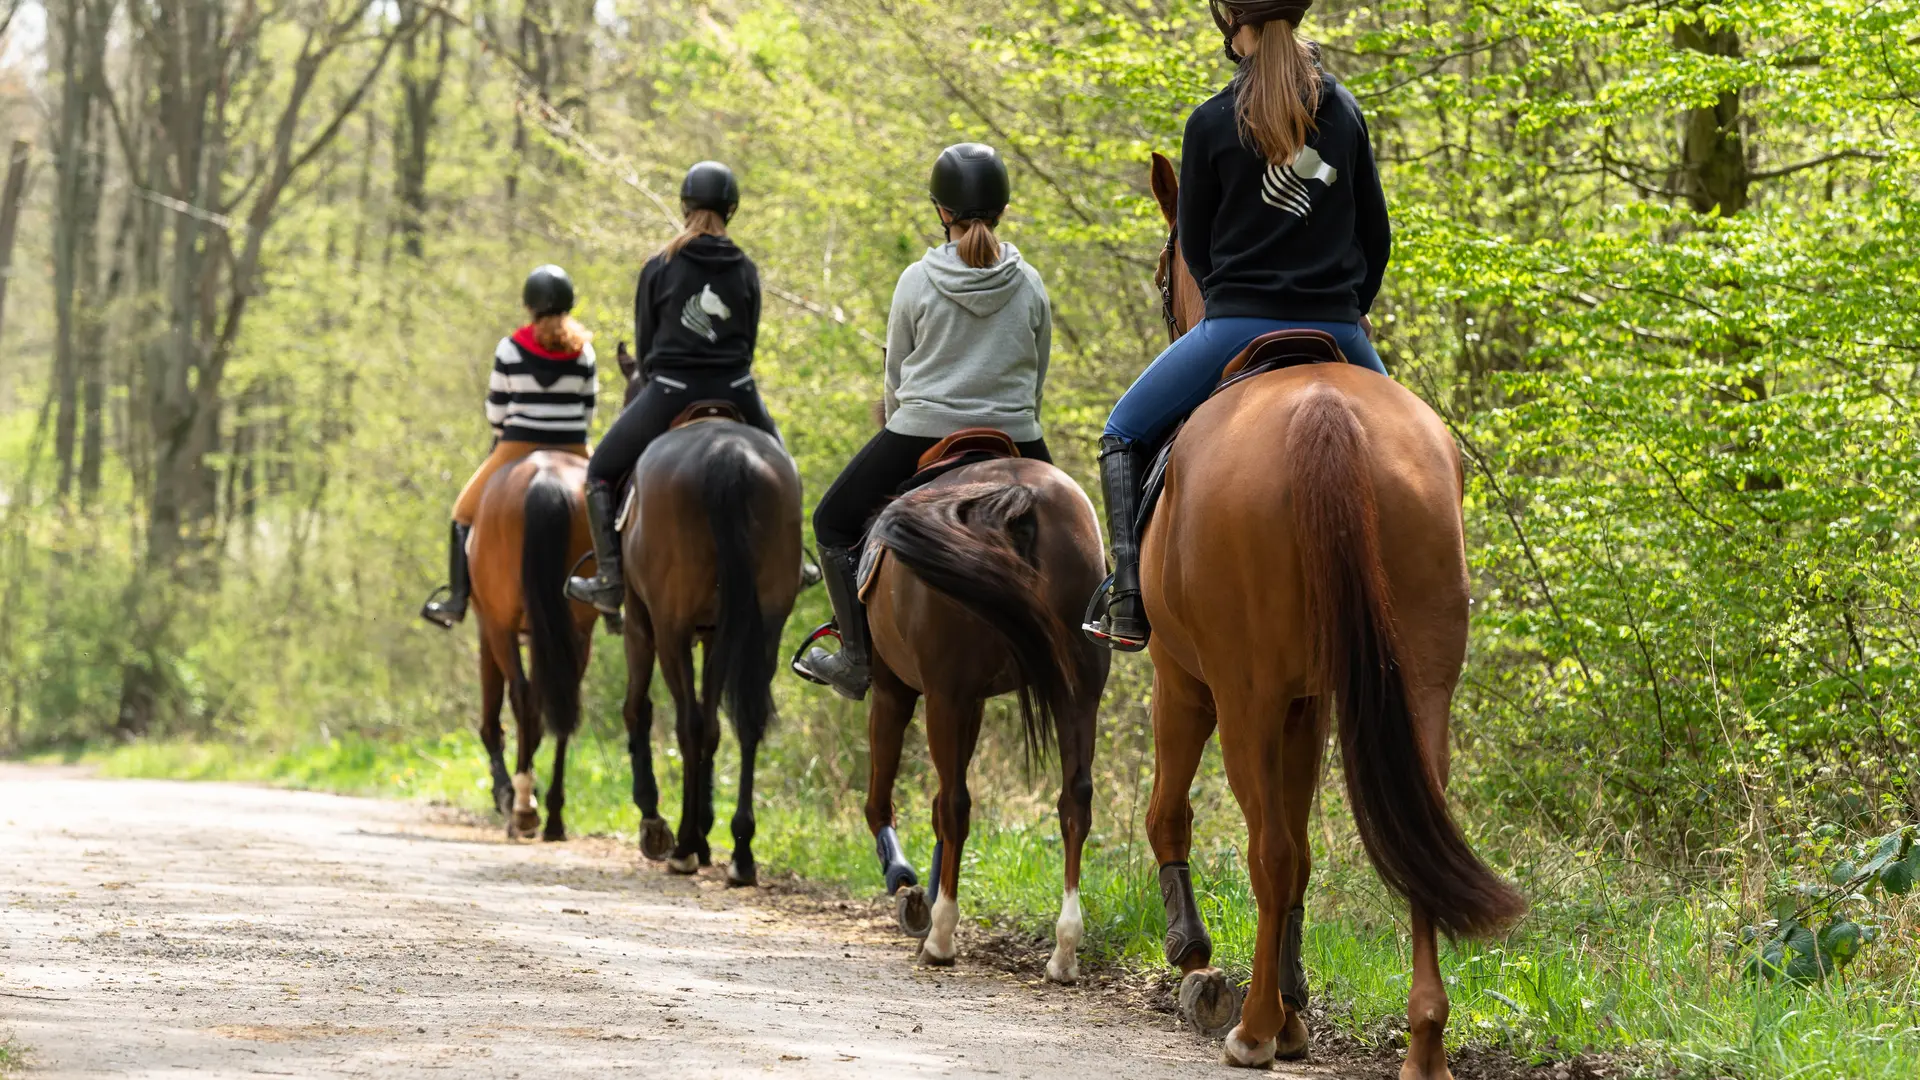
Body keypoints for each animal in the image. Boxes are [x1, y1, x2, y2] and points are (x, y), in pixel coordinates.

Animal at [468, 449, 595, 837]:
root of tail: (546, 480)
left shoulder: (488, 627)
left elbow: (494, 715)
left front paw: (504, 791)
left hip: (502, 624)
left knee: (523, 695)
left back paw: (522, 806)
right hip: (576, 626)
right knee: (563, 701)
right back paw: (553, 816)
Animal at [610, 343, 798, 883]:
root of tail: (727, 456)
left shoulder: (641, 624)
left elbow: (640, 708)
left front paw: (657, 823)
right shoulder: (717, 634)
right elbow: (715, 723)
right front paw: (709, 832)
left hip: (669, 628)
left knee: (688, 722)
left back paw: (685, 844)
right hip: (766, 627)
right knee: (743, 722)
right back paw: (741, 851)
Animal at [856, 441, 1113, 980]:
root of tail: (1017, 497)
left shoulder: (900, 691)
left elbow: (888, 797)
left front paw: (906, 886)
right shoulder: (969, 701)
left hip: (943, 695)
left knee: (956, 803)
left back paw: (941, 937)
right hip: (1077, 692)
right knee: (1075, 800)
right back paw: (1064, 951)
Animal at [1128, 151, 1520, 1068]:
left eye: (1164, 273)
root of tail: (1323, 410)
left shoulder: (1183, 681)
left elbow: (1176, 815)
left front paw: (1196, 957)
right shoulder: (1310, 701)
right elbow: (1307, 852)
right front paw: (1297, 1004)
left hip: (1242, 695)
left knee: (1266, 849)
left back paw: (1251, 1026)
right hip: (1417, 688)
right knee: (1408, 840)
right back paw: (1423, 1045)